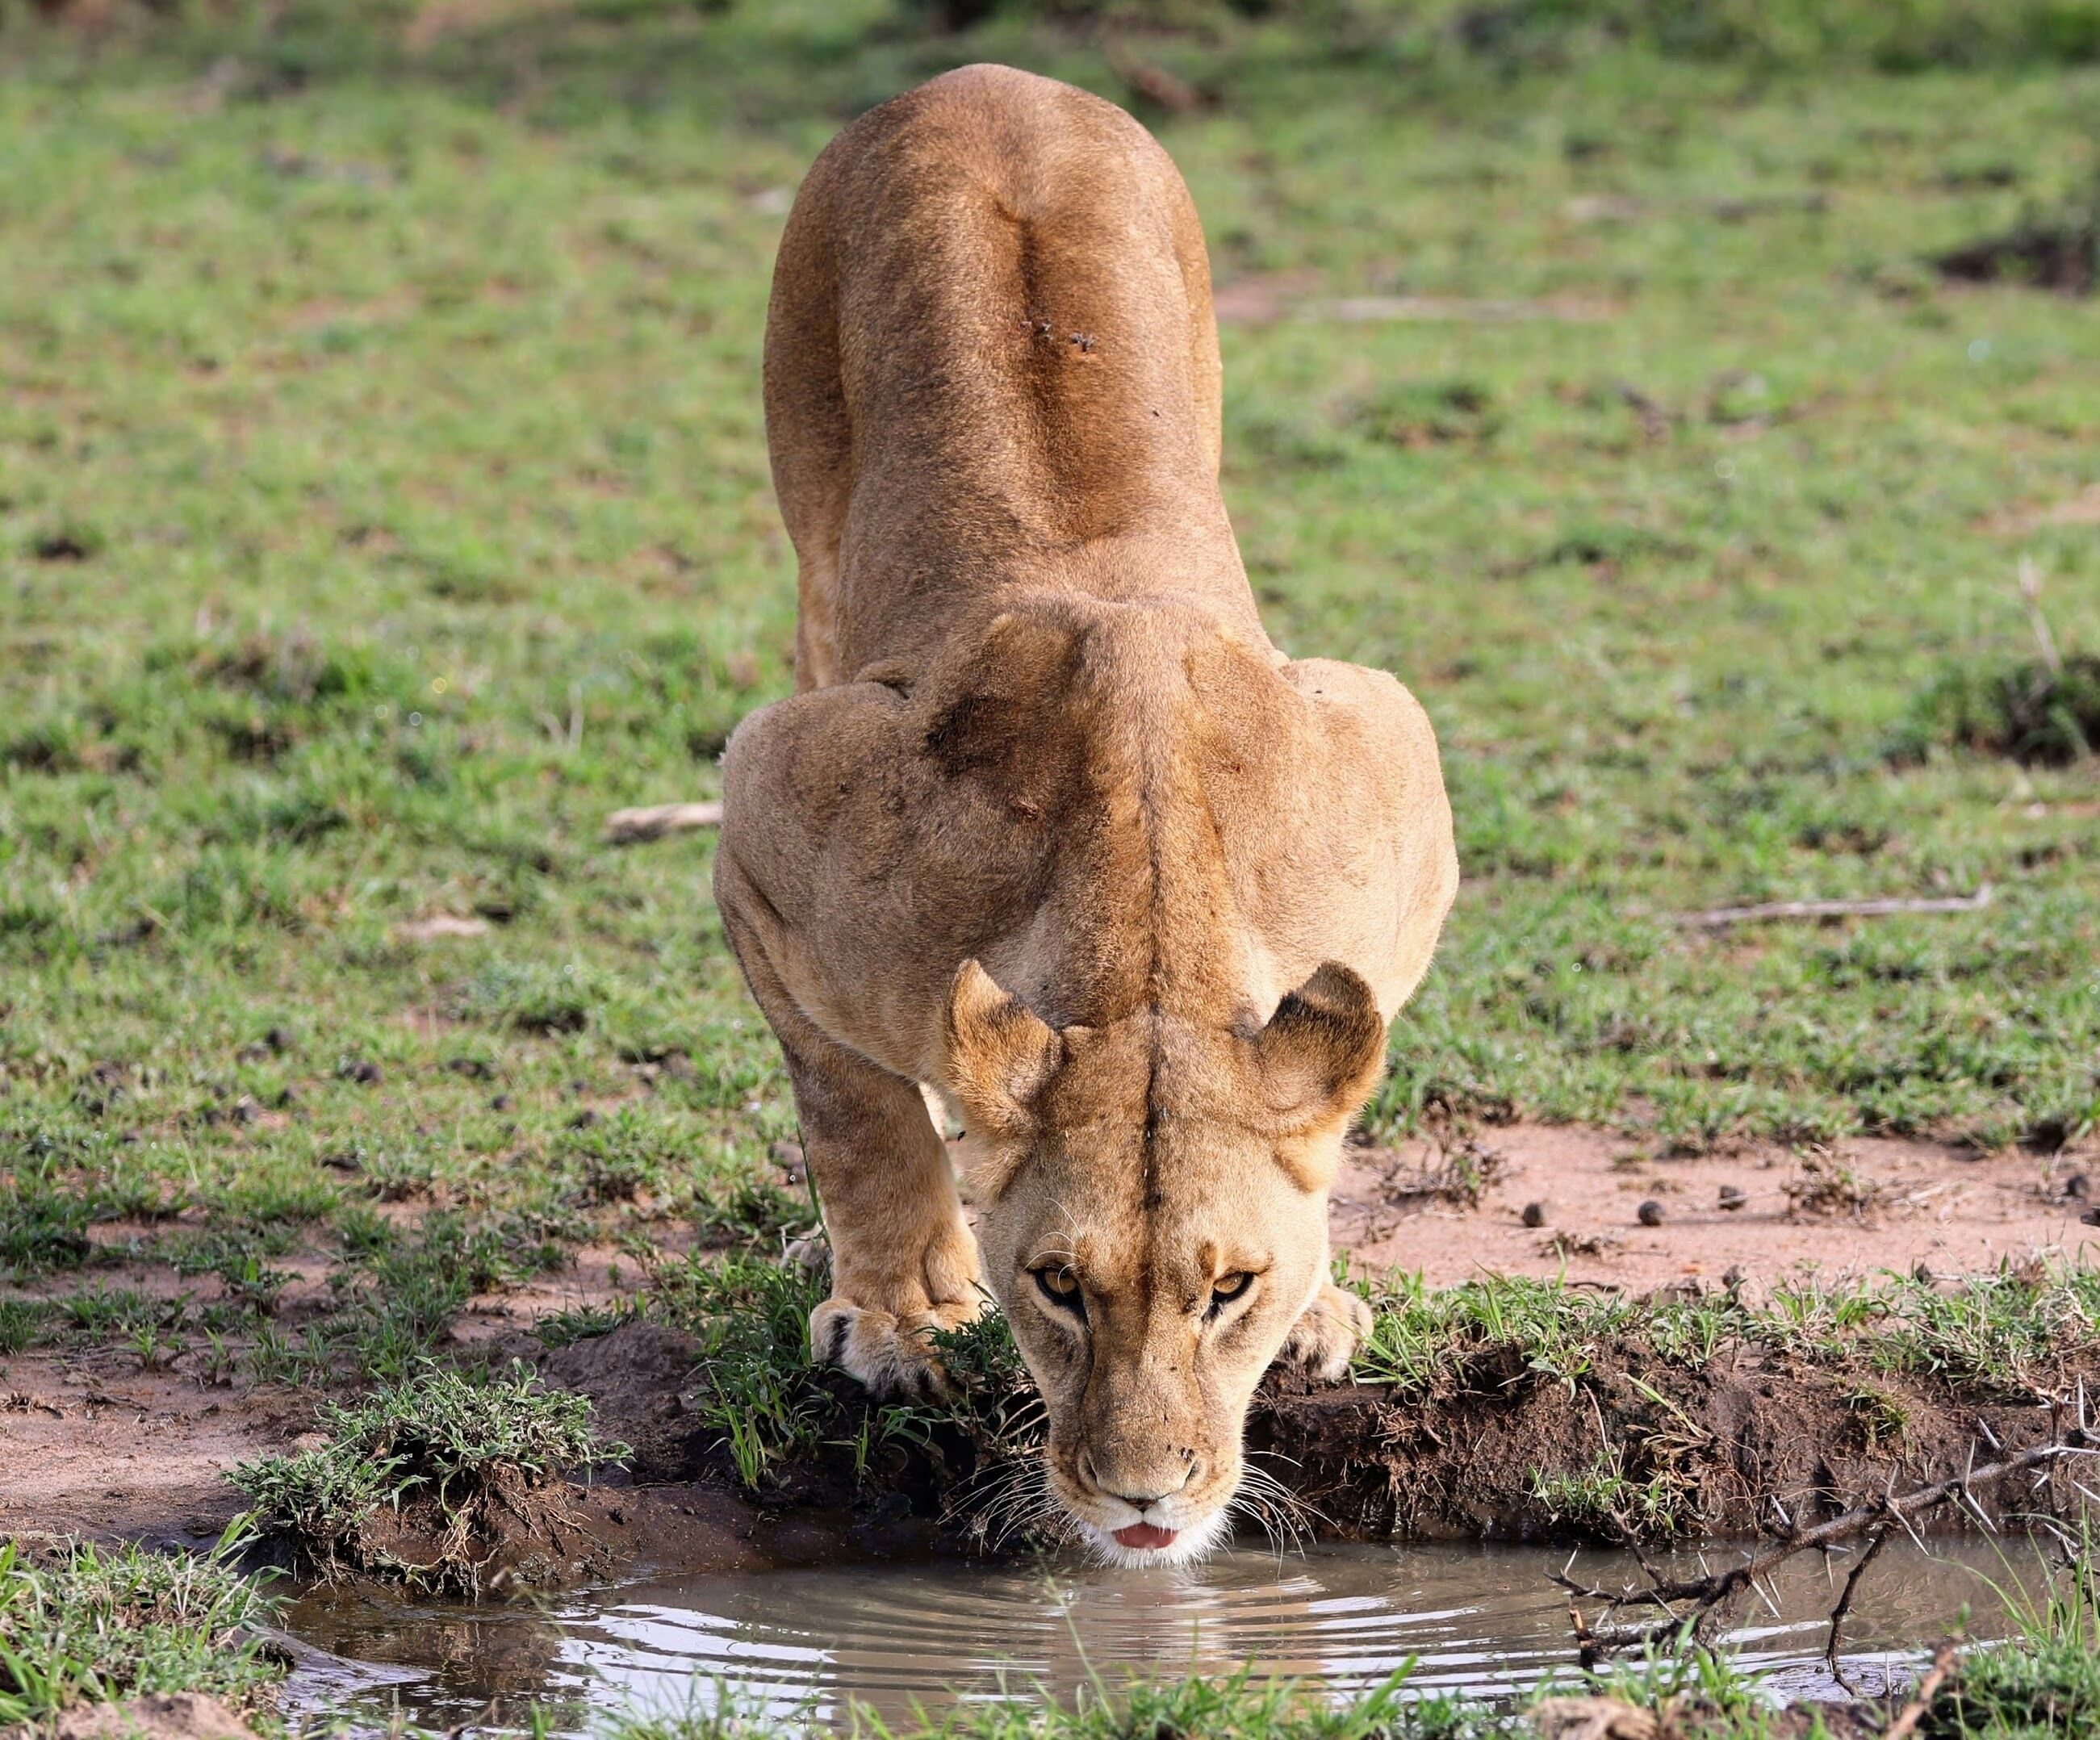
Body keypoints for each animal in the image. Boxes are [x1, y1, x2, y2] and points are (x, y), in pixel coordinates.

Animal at [714, 63, 1456, 1564]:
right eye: (1057, 1284)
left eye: (1230, 1289)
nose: (1142, 1500)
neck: (1152, 896)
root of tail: (983, 78)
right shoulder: (770, 810)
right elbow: (855, 1106)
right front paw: (902, 1312)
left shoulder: (1396, 775)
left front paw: (1325, 1299)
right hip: (812, 527)